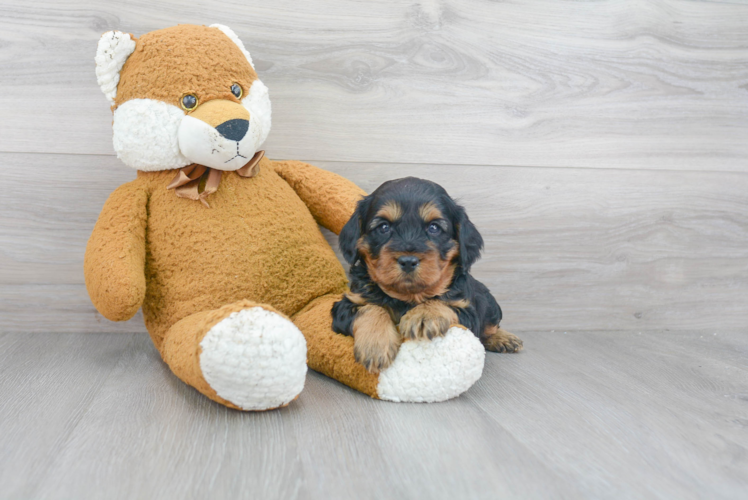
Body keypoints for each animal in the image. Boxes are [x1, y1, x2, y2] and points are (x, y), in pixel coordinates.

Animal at [334, 178, 520, 374]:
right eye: (383, 227)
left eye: (434, 227)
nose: (408, 261)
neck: (407, 297)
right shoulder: (345, 304)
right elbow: (371, 308)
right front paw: (375, 345)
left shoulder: (468, 312)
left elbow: (441, 302)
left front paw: (424, 315)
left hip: (490, 304)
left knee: (489, 328)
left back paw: (504, 338)